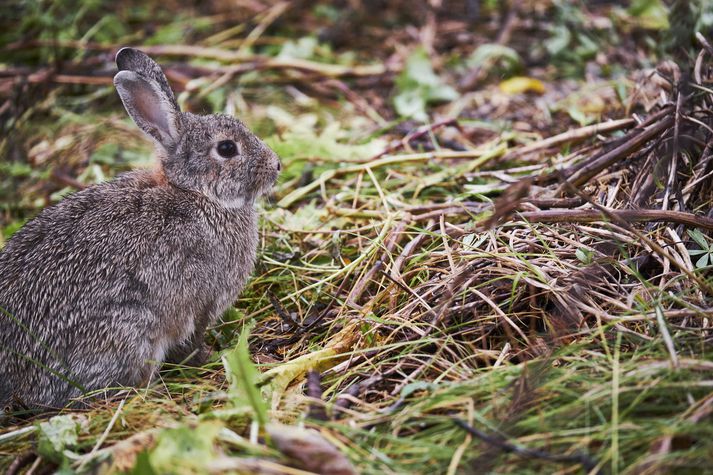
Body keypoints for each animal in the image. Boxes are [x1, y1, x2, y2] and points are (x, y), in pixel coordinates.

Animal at [0, 46, 280, 410]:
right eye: (227, 148)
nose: (277, 165)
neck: (197, 193)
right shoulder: (201, 301)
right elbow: (194, 335)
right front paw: (206, 356)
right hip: (132, 330)